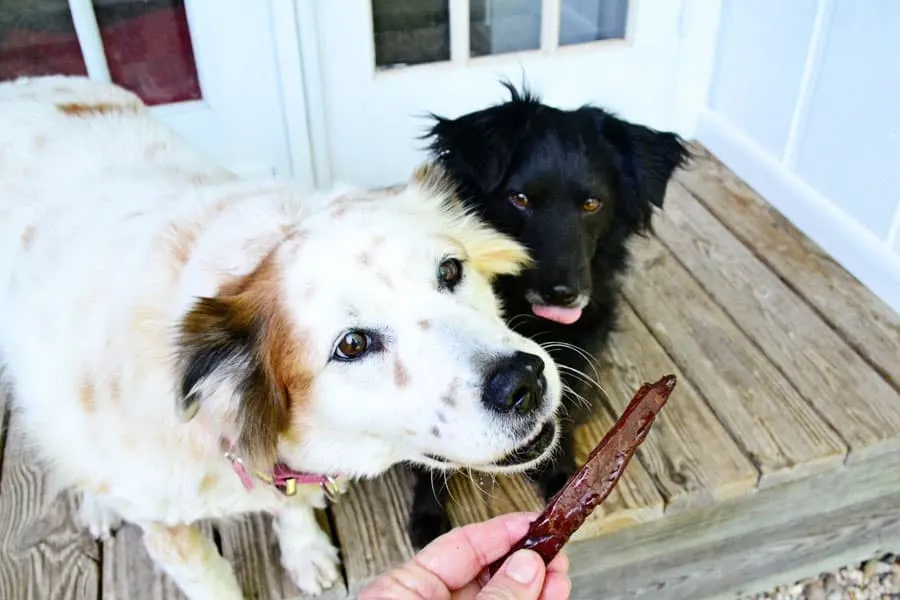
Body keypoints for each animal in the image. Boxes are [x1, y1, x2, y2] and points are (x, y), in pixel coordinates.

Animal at [0, 77, 564, 596]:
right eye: (352, 345)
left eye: (450, 270)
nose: (523, 383)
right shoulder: (170, 529)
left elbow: (292, 506)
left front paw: (306, 551)